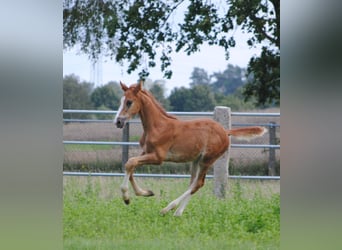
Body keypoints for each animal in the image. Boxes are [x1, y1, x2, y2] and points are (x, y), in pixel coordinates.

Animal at [113, 81, 266, 216]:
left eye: (129, 102)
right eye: (121, 101)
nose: (118, 122)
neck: (157, 126)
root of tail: (225, 131)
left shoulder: (158, 157)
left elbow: (130, 163)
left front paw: (127, 197)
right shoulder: (146, 152)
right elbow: (130, 166)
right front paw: (145, 193)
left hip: (207, 160)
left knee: (198, 183)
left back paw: (168, 209)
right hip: (196, 161)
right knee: (192, 183)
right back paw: (178, 213)